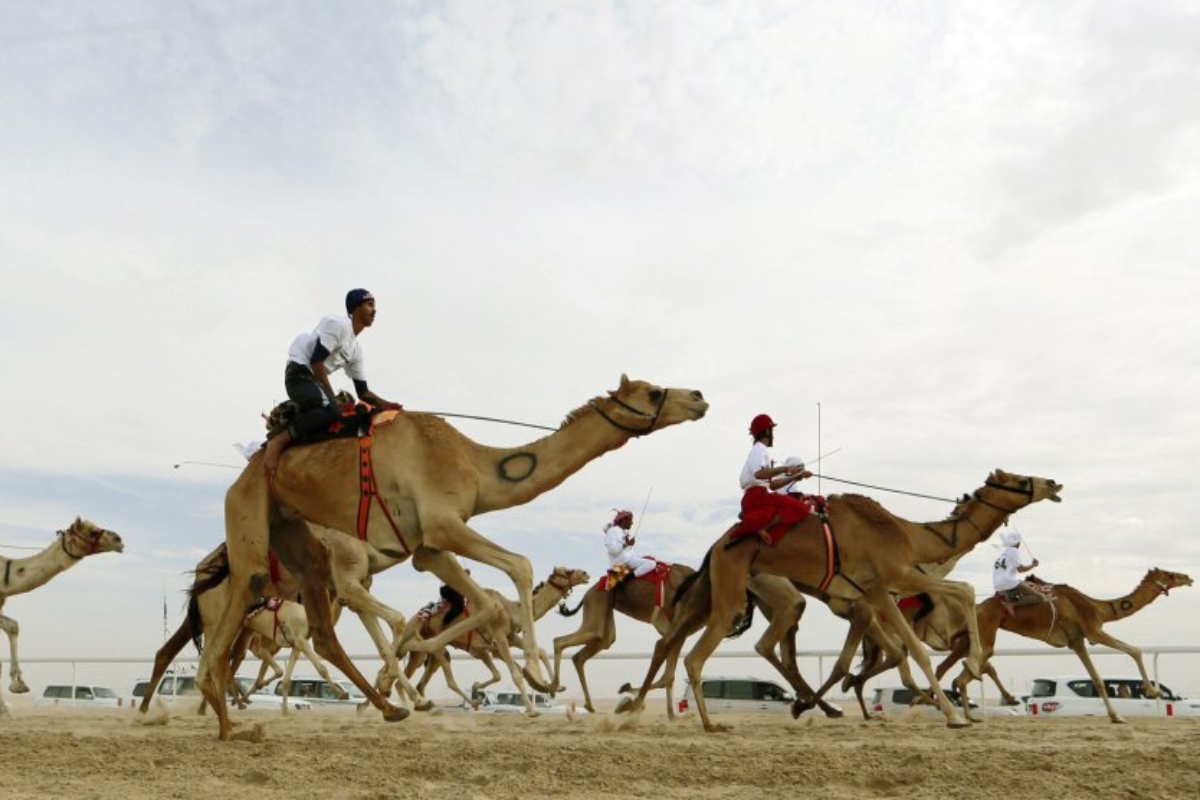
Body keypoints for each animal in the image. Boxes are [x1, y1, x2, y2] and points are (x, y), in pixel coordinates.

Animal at [400, 566, 592, 710]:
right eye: (568, 570)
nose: (586, 574)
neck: (510, 609)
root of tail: (415, 618)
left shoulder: (506, 638)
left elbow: (538, 653)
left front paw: (552, 686)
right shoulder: (494, 642)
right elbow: (513, 672)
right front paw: (534, 703)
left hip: (428, 654)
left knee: (420, 681)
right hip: (433, 645)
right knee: (444, 679)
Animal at [619, 470, 1060, 734]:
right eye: (1022, 479)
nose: (1053, 483)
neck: (910, 535)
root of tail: (717, 544)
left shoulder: (873, 595)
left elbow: (897, 650)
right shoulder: (886, 584)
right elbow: (924, 637)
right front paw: (954, 707)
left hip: (715, 592)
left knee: (672, 640)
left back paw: (635, 707)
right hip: (736, 595)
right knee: (701, 654)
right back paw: (709, 723)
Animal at [931, 566, 1195, 724]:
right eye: (1170, 574)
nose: (1189, 577)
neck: (1098, 607)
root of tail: (977, 608)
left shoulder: (1076, 641)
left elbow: (1098, 679)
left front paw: (1115, 714)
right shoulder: (1093, 632)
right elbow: (1134, 651)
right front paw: (1151, 693)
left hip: (975, 637)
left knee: (959, 672)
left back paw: (967, 716)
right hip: (986, 633)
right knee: (965, 672)